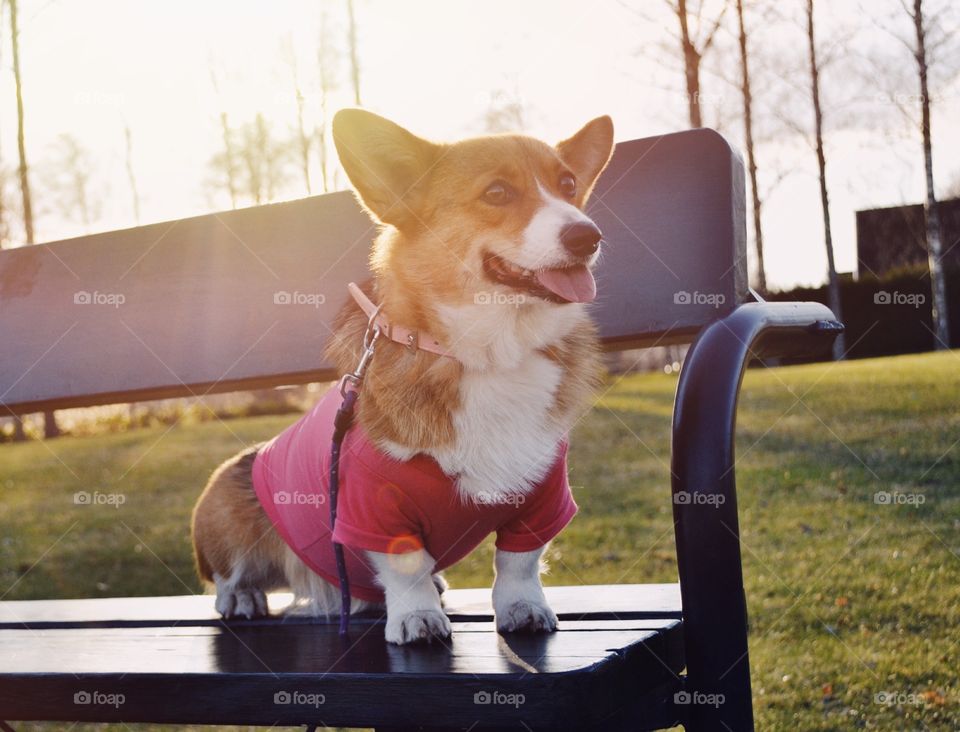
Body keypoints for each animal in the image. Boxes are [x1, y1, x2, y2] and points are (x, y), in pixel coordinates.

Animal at [192, 110, 616, 648]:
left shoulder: (542, 497)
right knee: (227, 577)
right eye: (497, 192)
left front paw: (523, 609)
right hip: (228, 507)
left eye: (568, 185)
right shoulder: (373, 507)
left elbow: (518, 563)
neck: (489, 354)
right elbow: (407, 566)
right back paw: (242, 598)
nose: (589, 236)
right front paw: (417, 618)